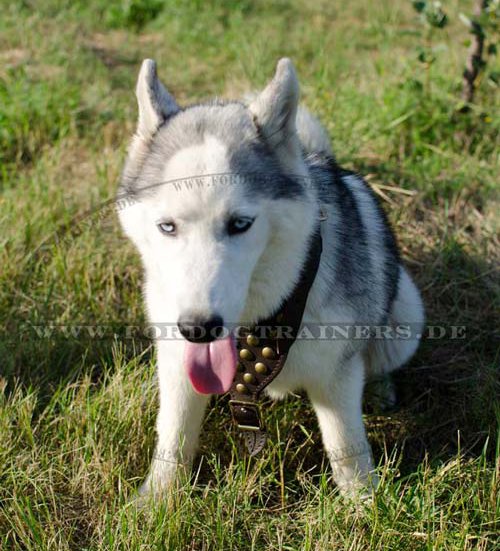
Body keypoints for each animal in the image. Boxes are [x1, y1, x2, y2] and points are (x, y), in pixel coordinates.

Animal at [119, 58, 424, 498]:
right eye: (167, 227)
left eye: (240, 224)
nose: (197, 328)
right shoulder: (176, 363)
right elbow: (173, 436)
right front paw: (157, 499)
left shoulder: (336, 376)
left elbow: (346, 446)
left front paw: (365, 503)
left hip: (407, 319)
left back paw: (381, 387)